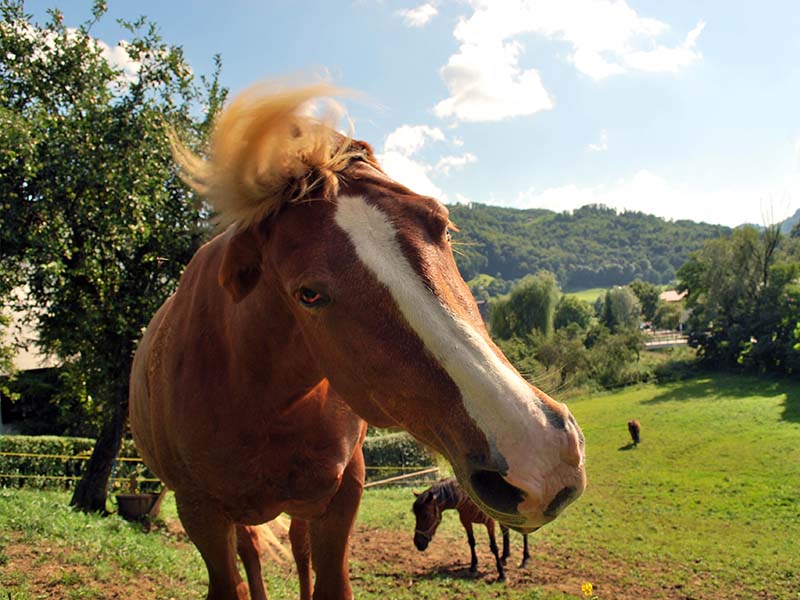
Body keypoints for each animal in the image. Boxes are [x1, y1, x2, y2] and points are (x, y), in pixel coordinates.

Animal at [128, 81, 584, 600]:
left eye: (443, 225)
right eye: (308, 294)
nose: (541, 458)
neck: (257, 395)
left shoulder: (343, 493)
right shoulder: (200, 513)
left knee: (298, 549)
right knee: (253, 553)